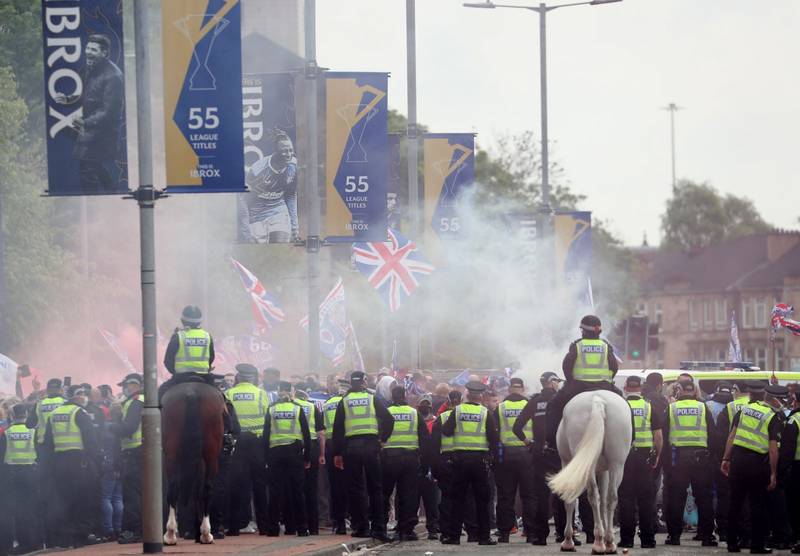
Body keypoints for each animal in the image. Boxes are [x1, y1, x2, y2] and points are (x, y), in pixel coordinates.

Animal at [161, 378, 225, 544]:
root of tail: (191, 393)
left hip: (172, 453)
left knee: (174, 487)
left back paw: (171, 533)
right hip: (210, 454)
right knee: (206, 488)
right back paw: (205, 533)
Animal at [552, 388, 632, 552]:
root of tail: (597, 400)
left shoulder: (567, 463)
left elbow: (570, 501)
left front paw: (568, 540)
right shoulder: (604, 471)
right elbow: (604, 501)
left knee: (593, 496)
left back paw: (598, 542)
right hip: (617, 464)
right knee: (611, 497)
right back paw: (609, 542)